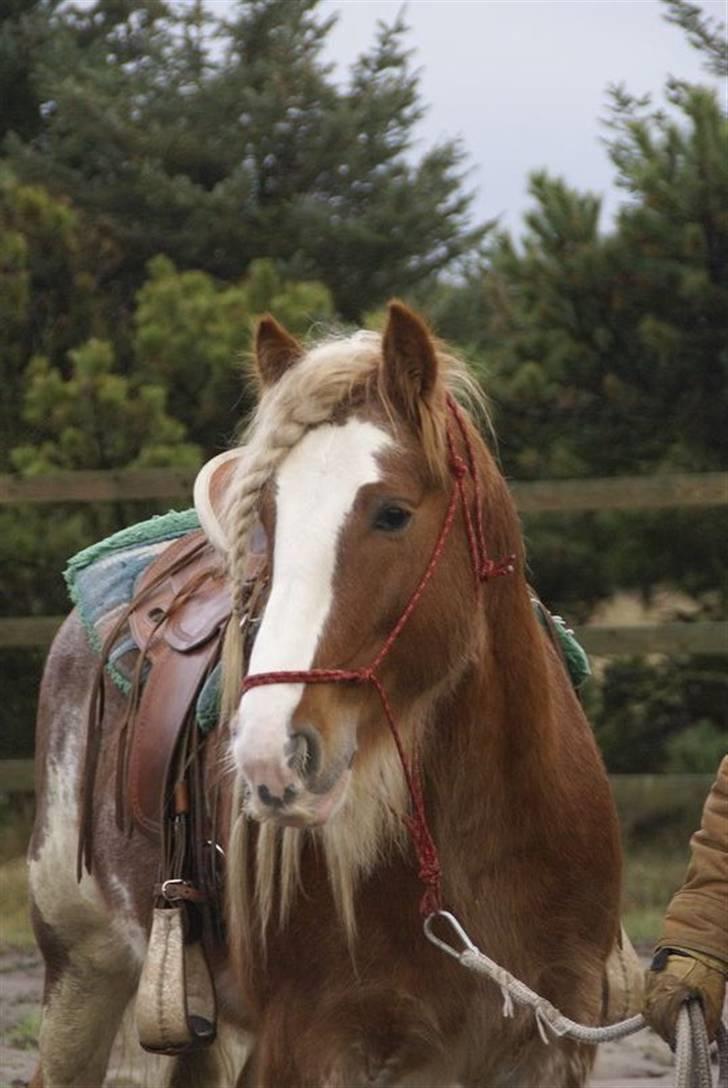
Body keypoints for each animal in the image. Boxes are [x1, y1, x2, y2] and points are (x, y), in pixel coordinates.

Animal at [28, 300, 618, 1088]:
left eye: (393, 513)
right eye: (267, 522)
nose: (269, 754)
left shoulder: (552, 1041)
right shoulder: (311, 1044)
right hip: (82, 972)